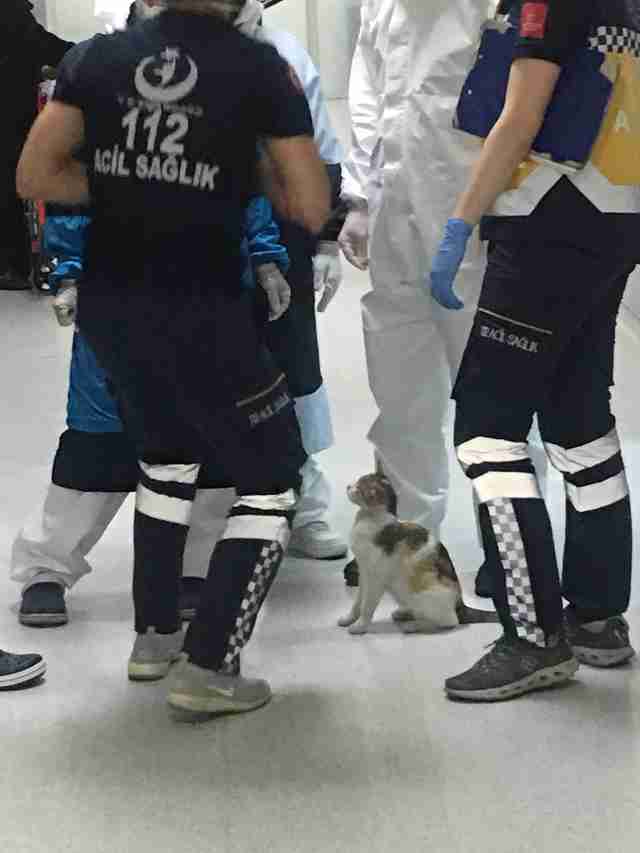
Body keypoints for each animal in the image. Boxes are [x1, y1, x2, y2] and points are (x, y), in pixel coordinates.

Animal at [340, 472, 500, 632]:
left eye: (359, 486)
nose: (348, 486)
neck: (366, 519)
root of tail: (460, 604)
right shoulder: (364, 574)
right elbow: (357, 603)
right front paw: (349, 619)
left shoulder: (375, 578)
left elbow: (367, 606)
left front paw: (360, 626)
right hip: (399, 589)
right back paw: (404, 612)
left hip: (420, 593)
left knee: (449, 621)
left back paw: (413, 625)